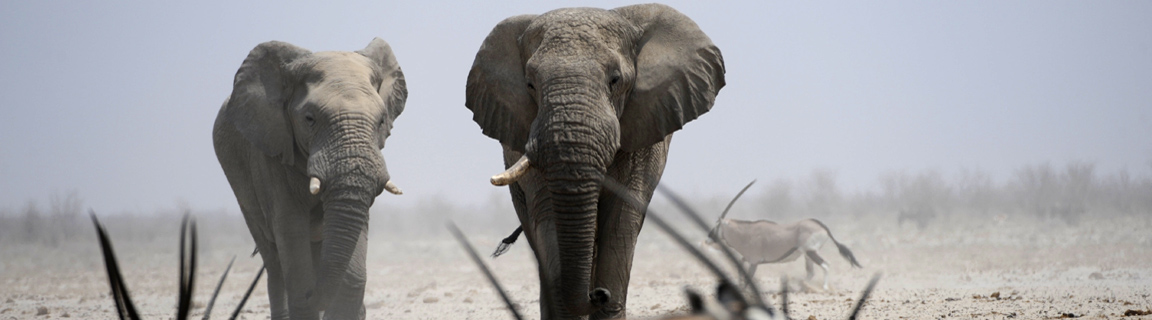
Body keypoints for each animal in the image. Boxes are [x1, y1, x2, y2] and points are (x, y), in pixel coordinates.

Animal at [214, 37, 407, 320]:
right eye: (309, 119)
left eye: (382, 120)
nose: (316, 297)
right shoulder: (271, 151)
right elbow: (290, 230)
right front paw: (308, 297)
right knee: (274, 262)